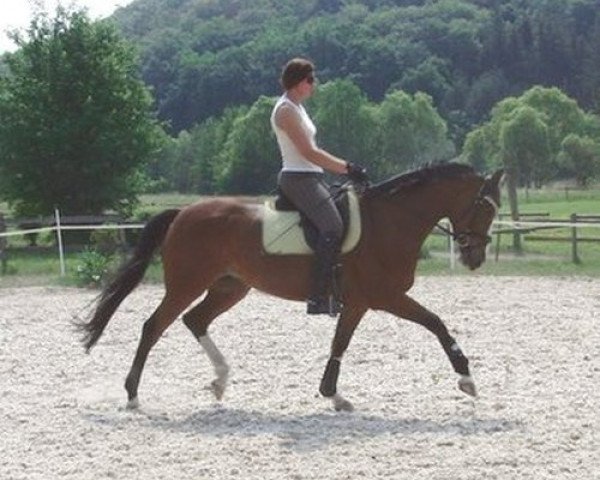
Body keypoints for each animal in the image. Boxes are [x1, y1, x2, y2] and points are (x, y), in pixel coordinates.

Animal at [78, 163, 502, 410]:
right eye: (486, 207)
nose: (475, 257)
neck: (391, 220)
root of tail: (184, 212)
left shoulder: (359, 302)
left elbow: (340, 343)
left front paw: (333, 394)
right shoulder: (386, 297)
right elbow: (436, 323)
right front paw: (466, 378)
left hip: (229, 287)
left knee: (195, 321)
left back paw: (220, 381)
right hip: (187, 283)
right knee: (153, 326)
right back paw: (133, 394)